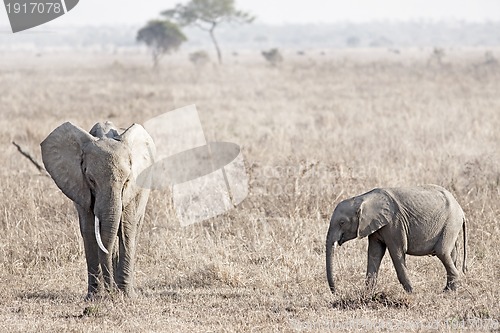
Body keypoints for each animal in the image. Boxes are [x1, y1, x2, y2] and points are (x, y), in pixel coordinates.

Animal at [40, 120, 155, 296]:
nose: (111, 292)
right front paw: (96, 297)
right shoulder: (80, 187)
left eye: (127, 181)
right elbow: (88, 230)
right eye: (91, 180)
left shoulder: (131, 191)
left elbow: (126, 229)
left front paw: (126, 296)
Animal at [326, 185, 466, 292]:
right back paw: (450, 290)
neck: (364, 198)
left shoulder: (394, 224)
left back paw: (448, 291)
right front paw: (367, 294)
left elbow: (397, 252)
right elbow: (374, 253)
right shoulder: (376, 226)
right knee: (451, 254)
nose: (336, 291)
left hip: (451, 223)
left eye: (342, 222)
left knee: (442, 252)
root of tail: (461, 210)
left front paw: (411, 292)